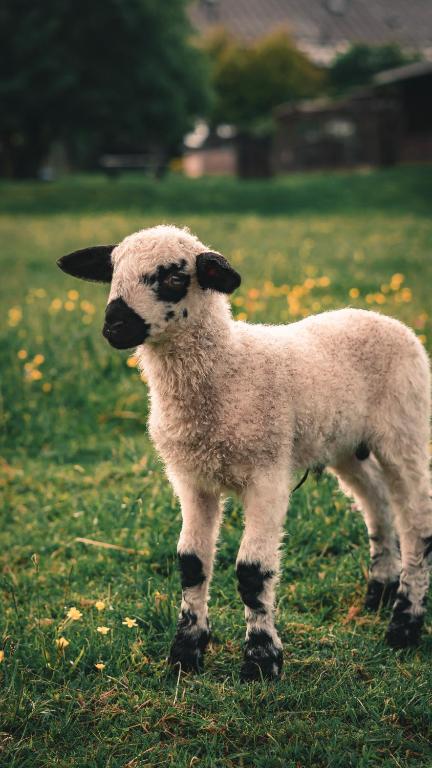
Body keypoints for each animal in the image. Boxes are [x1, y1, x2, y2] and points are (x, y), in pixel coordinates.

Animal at [57, 224, 432, 681]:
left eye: (173, 277)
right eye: (112, 272)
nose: (114, 324)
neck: (228, 368)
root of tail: (388, 320)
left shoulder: (267, 475)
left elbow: (252, 573)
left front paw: (261, 659)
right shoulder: (191, 479)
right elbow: (191, 564)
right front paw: (186, 653)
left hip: (404, 430)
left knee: (417, 524)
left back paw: (405, 623)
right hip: (345, 445)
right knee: (376, 505)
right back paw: (379, 593)